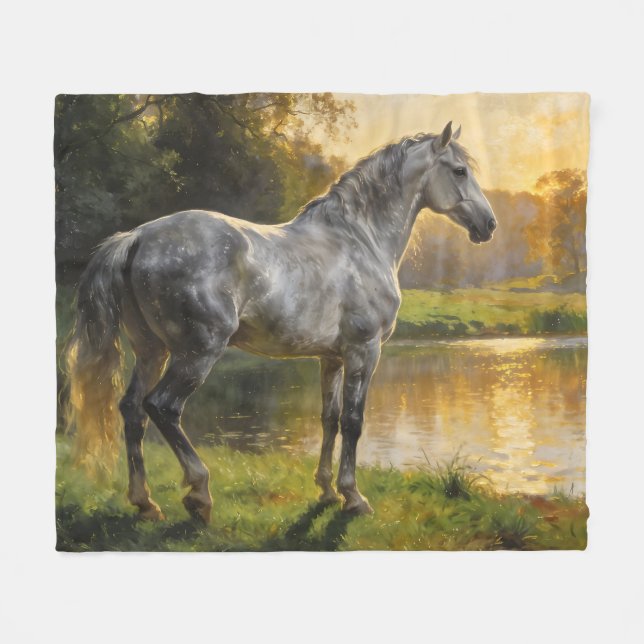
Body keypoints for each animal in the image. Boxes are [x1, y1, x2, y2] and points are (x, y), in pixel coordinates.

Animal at [64, 121, 496, 523]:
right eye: (459, 171)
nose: (489, 225)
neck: (361, 239)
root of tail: (137, 236)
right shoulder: (364, 351)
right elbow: (353, 421)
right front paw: (353, 497)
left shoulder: (332, 357)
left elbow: (329, 419)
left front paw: (326, 491)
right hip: (197, 352)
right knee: (163, 407)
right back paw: (199, 494)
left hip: (151, 351)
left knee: (132, 410)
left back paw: (145, 502)